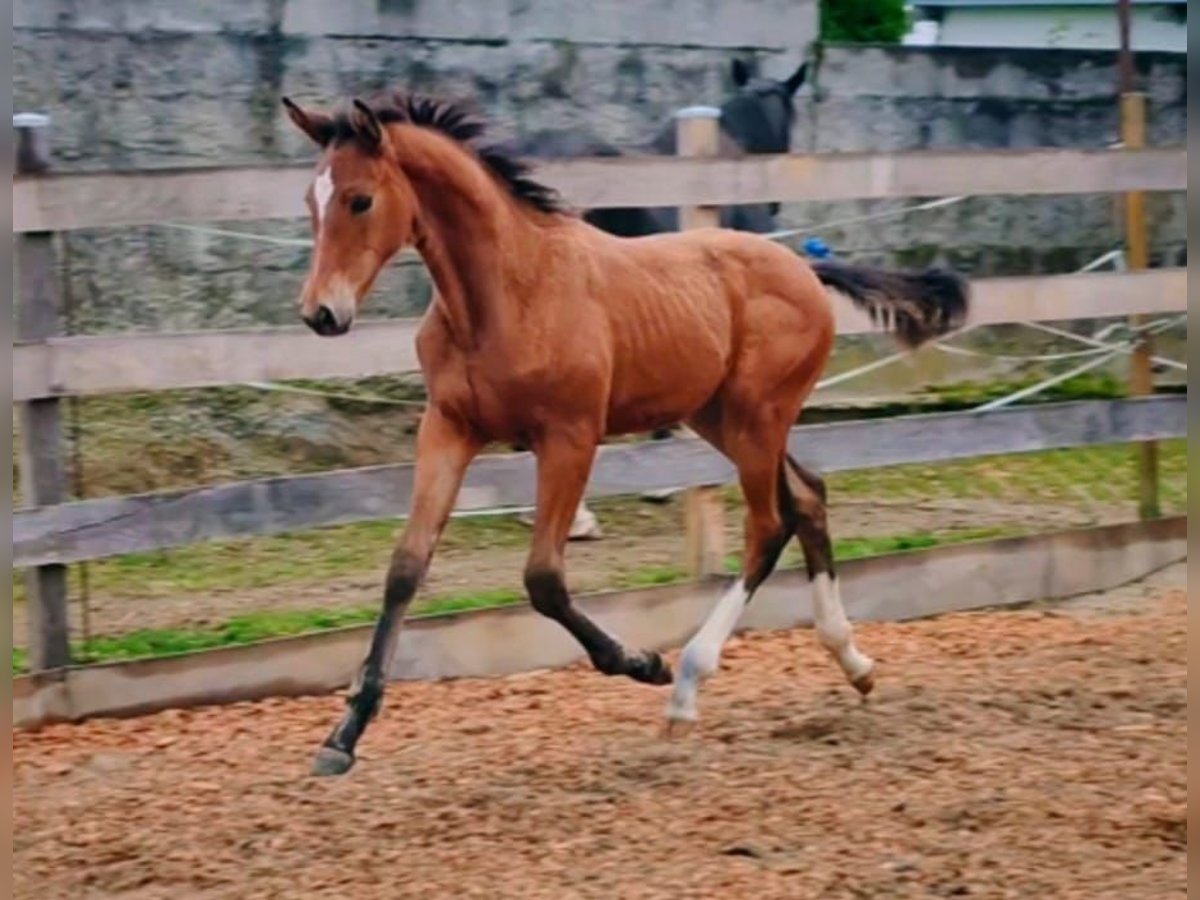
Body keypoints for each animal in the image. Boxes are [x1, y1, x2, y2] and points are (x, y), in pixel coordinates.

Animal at [285, 93, 969, 777]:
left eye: (360, 200)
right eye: (311, 201)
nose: (321, 314)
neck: (507, 294)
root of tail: (801, 263)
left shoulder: (569, 436)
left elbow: (543, 578)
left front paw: (641, 663)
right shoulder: (449, 429)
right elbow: (406, 566)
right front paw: (344, 734)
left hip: (758, 417)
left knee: (768, 524)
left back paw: (686, 687)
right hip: (724, 418)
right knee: (807, 497)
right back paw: (853, 663)